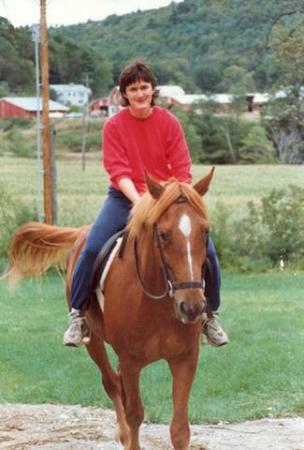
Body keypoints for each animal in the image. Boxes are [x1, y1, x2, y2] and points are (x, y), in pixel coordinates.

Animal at [7, 169, 216, 450]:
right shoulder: (130, 361)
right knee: (111, 384)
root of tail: (82, 231)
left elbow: (180, 429)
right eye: (163, 234)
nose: (191, 306)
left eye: (205, 231)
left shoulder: (185, 358)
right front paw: (129, 435)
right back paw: (123, 433)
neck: (156, 305)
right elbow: (135, 413)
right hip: (94, 340)